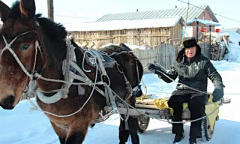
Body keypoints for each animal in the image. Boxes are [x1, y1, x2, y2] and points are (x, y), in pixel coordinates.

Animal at [0, 0, 142, 143]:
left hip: (129, 101)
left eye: (25, 46)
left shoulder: (79, 125)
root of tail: (126, 49)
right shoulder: (59, 125)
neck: (64, 83)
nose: (5, 98)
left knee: (130, 127)